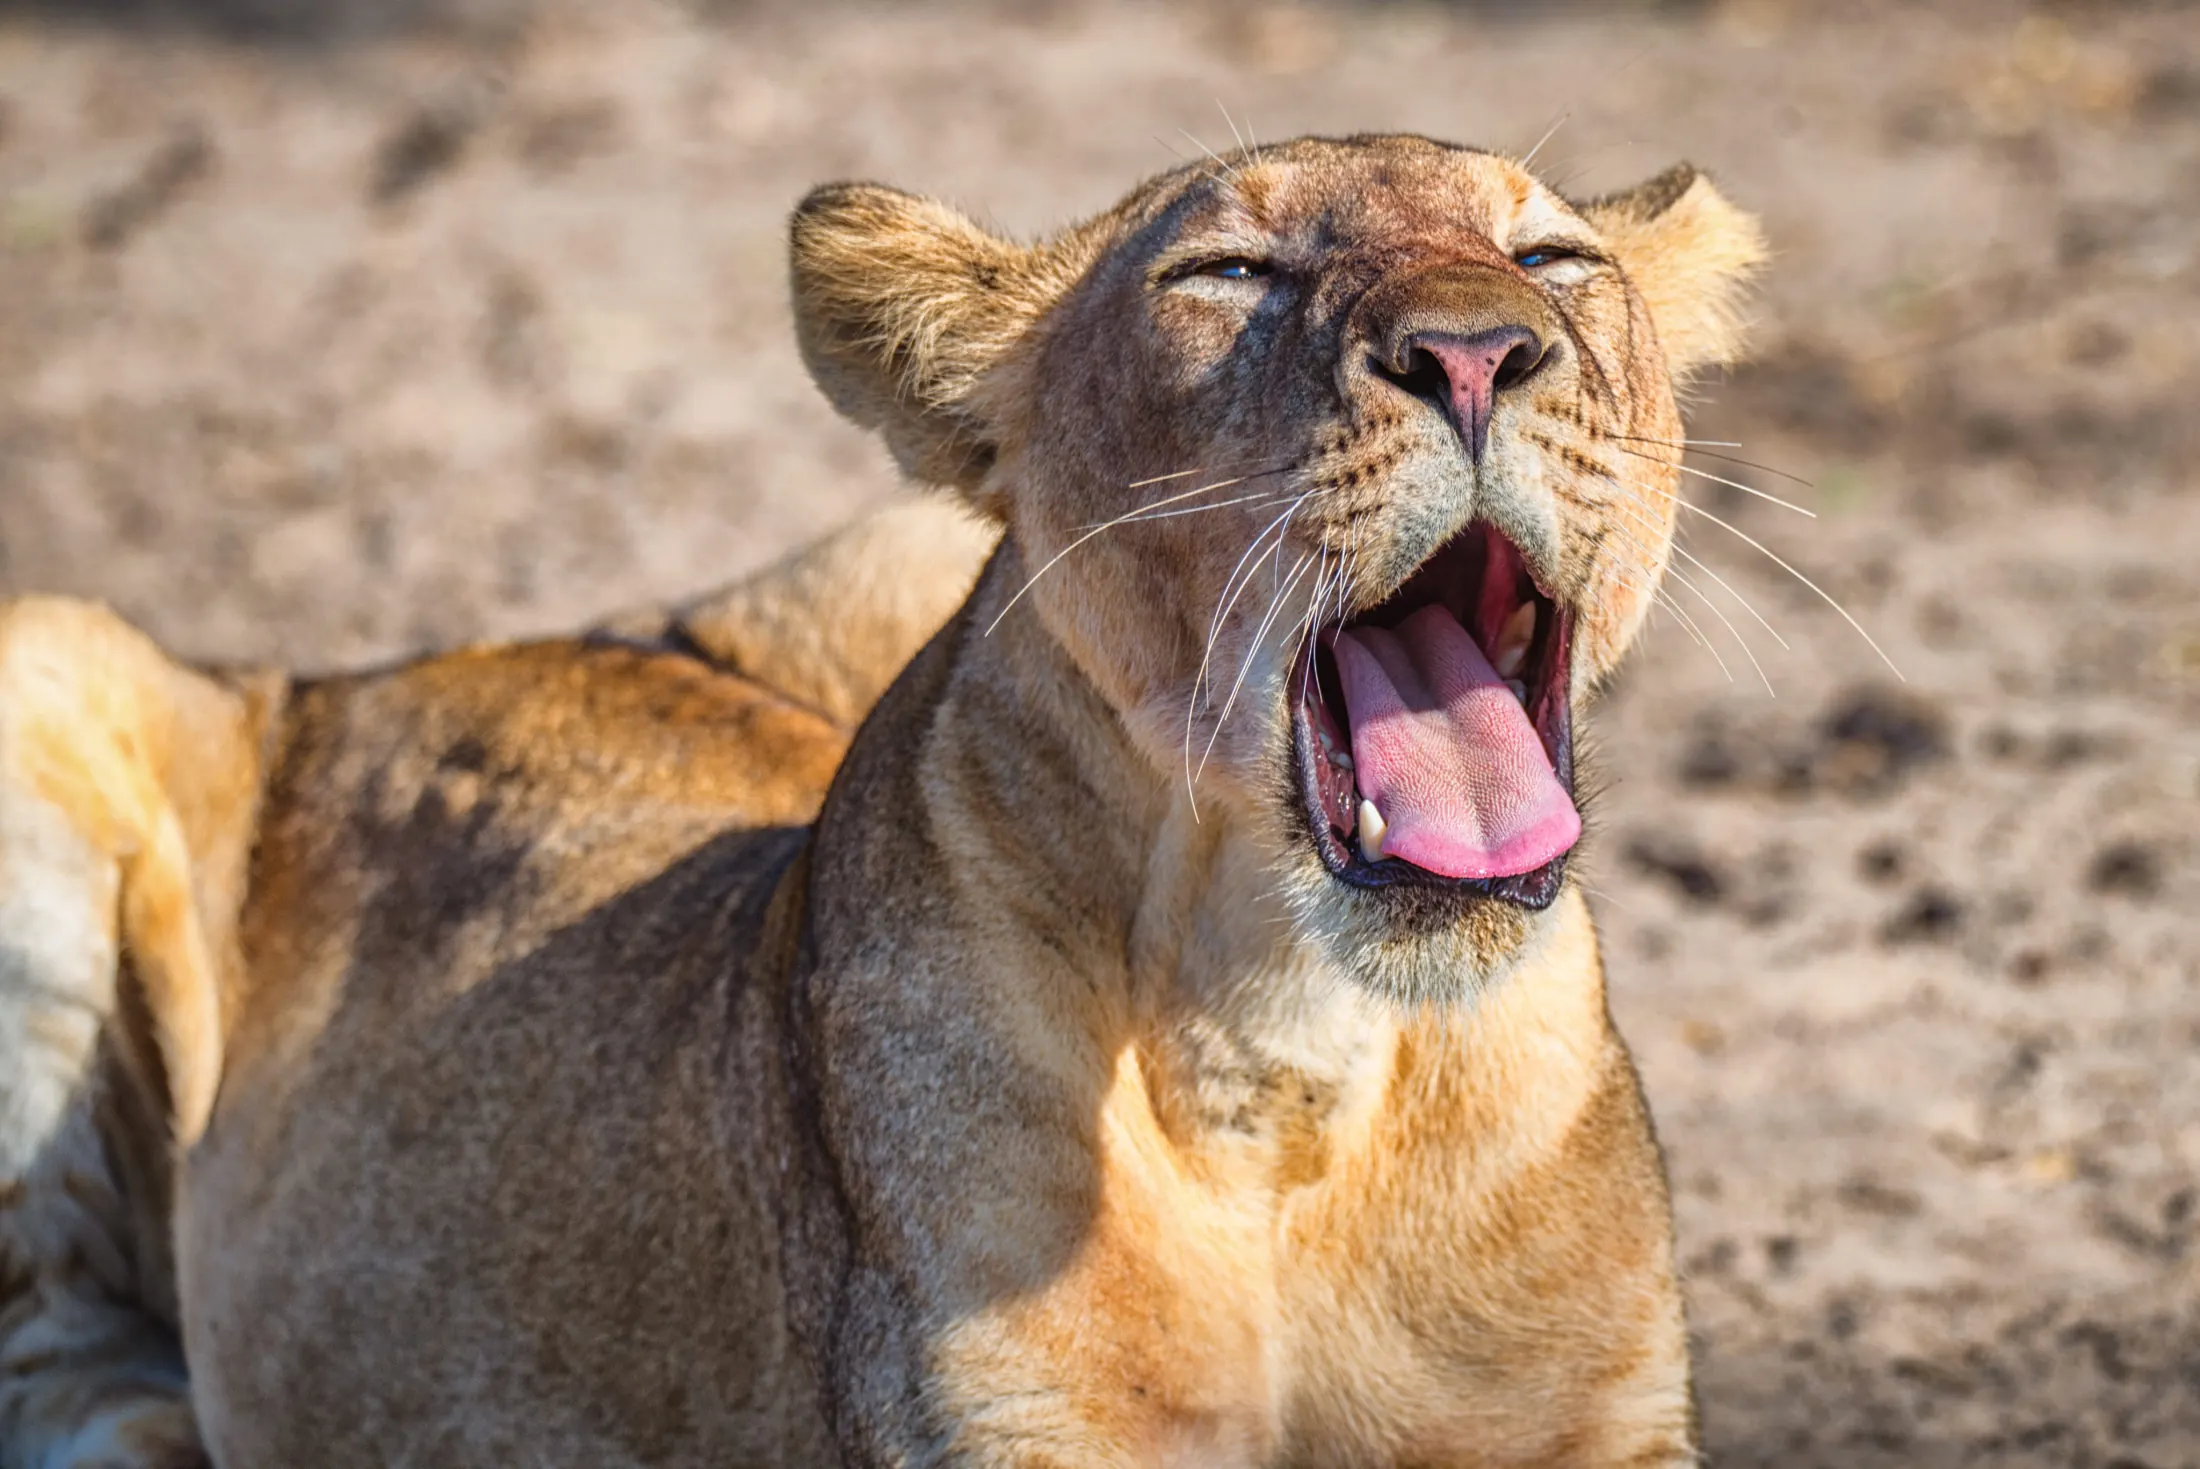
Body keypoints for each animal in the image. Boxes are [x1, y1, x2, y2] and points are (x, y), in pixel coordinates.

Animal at [0, 133, 1763, 1468]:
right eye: (1226, 274)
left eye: (1549, 256)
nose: (1473, 351)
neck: (1291, 1055)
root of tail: (372, 671)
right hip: (48, 661)